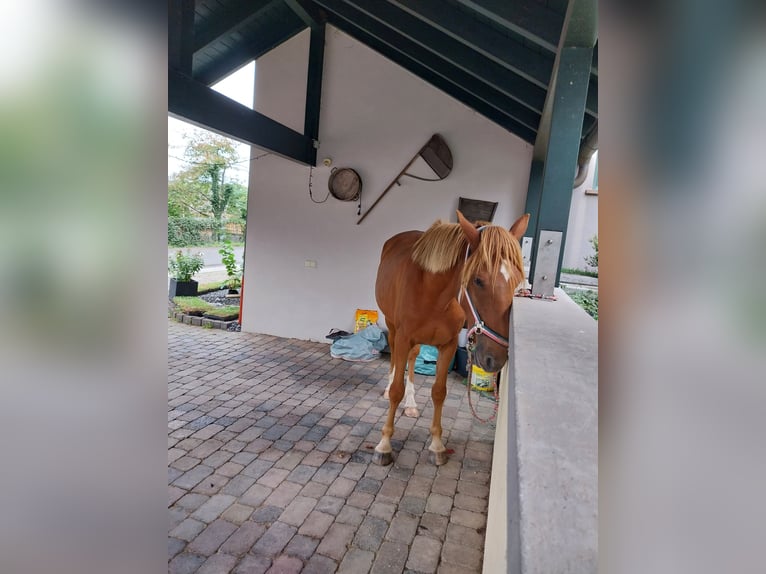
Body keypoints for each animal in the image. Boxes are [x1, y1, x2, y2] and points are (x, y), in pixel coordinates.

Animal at [376, 212, 532, 468]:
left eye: (517, 279)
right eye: (478, 280)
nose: (496, 358)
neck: (433, 294)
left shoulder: (447, 345)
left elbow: (439, 392)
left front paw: (437, 446)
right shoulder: (404, 337)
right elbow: (397, 390)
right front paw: (384, 445)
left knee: (412, 359)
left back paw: (411, 405)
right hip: (392, 325)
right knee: (395, 361)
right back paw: (388, 389)